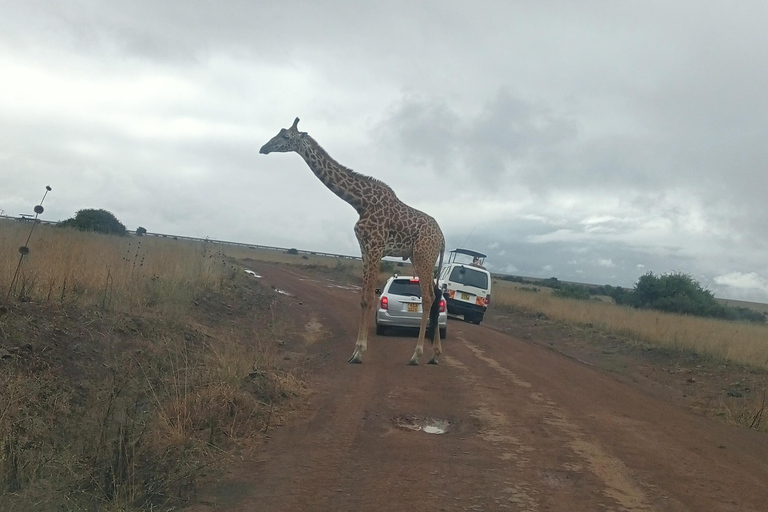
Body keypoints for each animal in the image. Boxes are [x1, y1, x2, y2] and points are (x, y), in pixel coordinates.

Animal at [260, 117, 448, 364]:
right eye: (279, 132)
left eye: (285, 137)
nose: (264, 148)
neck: (360, 202)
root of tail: (442, 238)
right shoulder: (364, 248)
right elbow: (363, 298)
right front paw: (356, 350)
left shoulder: (376, 246)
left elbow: (369, 296)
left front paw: (359, 352)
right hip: (422, 259)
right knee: (435, 297)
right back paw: (435, 354)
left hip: (424, 256)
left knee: (427, 298)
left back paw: (416, 355)